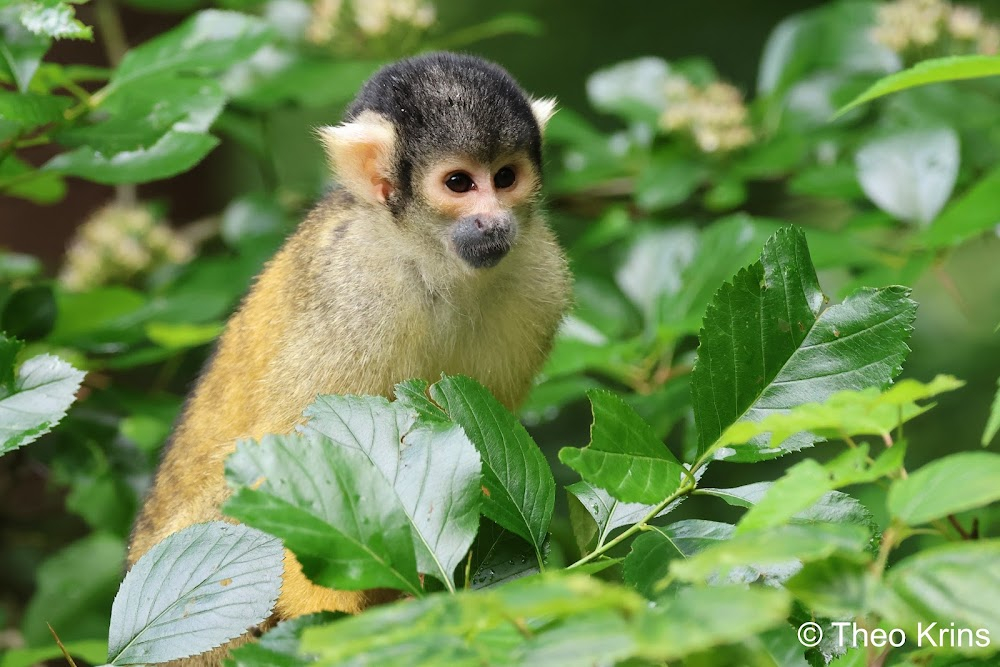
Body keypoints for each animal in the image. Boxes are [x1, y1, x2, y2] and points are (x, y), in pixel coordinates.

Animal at [127, 51, 572, 632]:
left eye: (505, 177)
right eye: (459, 183)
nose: (494, 222)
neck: (429, 263)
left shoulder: (540, 280)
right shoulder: (350, 292)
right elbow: (294, 461)